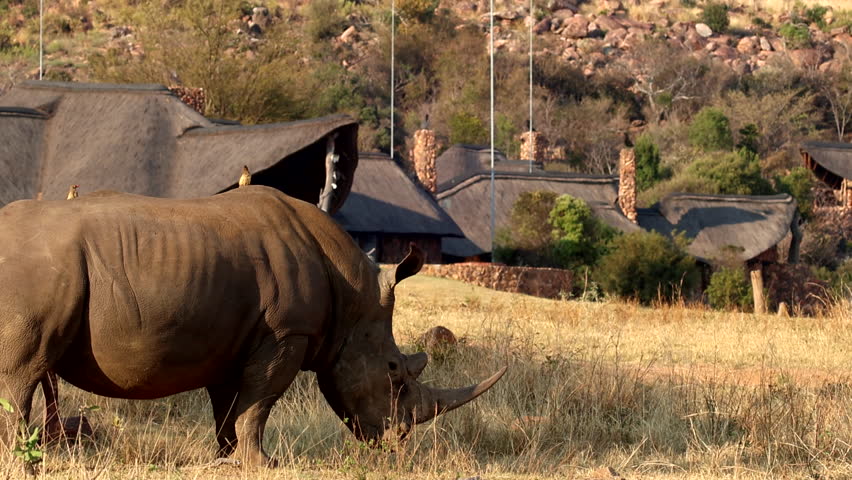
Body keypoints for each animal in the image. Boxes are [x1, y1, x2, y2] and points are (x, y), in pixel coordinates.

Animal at [0, 186, 505, 466]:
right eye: (395, 372)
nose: (396, 443)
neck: (354, 301)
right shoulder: (287, 332)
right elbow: (259, 402)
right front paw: (265, 463)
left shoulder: (235, 338)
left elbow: (231, 407)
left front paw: (226, 460)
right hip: (38, 271)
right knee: (21, 373)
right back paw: (21, 464)